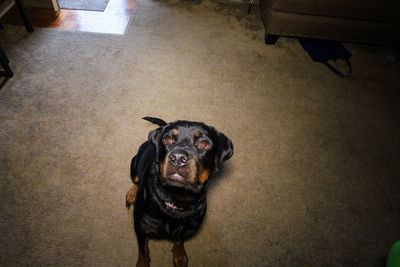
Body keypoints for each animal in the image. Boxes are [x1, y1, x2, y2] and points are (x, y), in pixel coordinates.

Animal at [124, 118, 231, 267]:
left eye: (204, 144)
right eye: (168, 139)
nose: (178, 157)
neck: (177, 198)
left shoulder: (186, 228)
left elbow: (179, 240)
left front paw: (179, 255)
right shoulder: (141, 228)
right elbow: (143, 250)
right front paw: (142, 263)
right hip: (134, 163)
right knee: (136, 180)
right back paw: (132, 193)